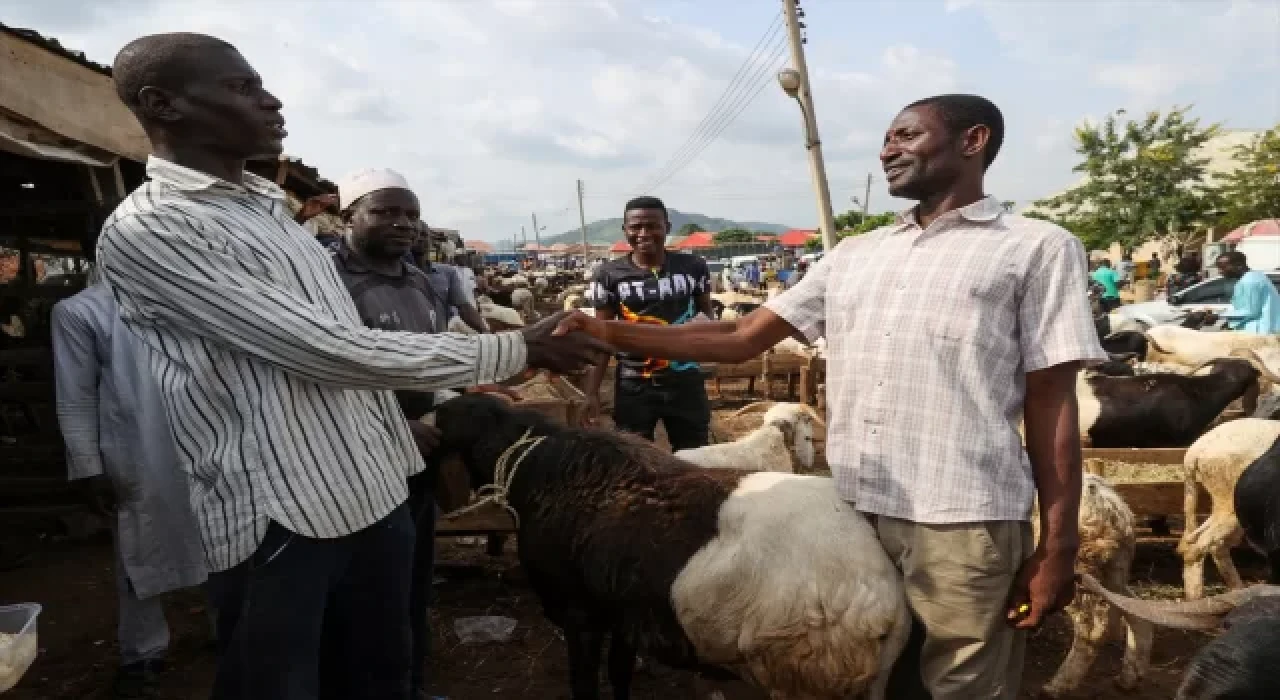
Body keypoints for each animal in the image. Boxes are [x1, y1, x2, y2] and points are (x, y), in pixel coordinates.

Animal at [1177, 419, 1280, 598]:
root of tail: (1194, 451)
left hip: (1223, 503)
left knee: (1198, 542)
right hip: (1228, 496)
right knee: (1203, 545)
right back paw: (1197, 598)